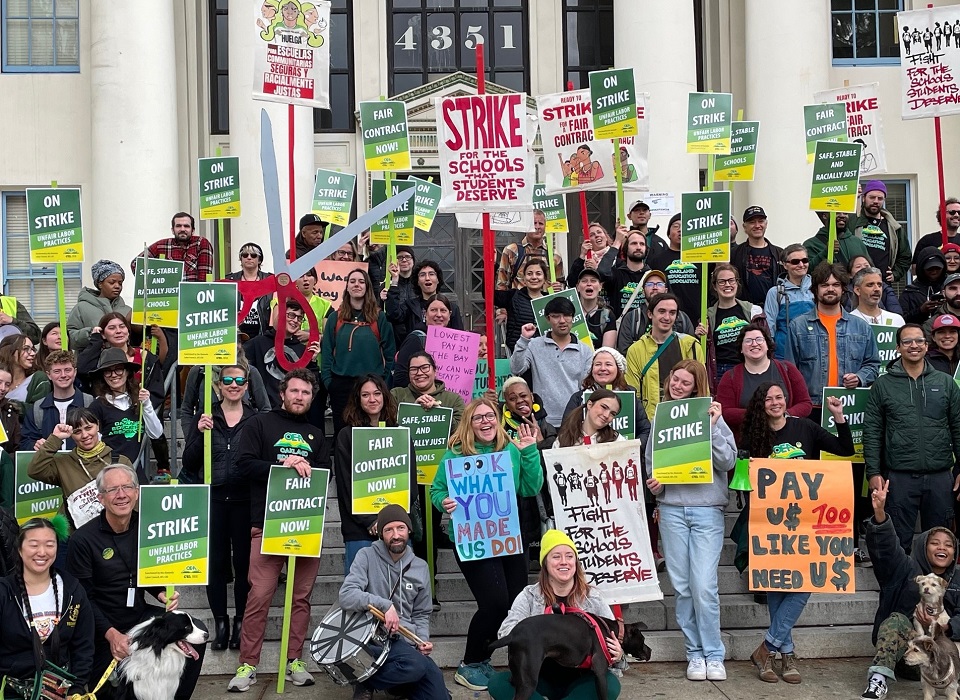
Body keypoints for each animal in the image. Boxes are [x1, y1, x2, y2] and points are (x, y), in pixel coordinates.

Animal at [488, 604, 652, 700]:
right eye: (643, 639)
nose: (650, 650)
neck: (612, 630)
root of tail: (513, 635)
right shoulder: (600, 672)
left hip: (517, 676)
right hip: (527, 683)